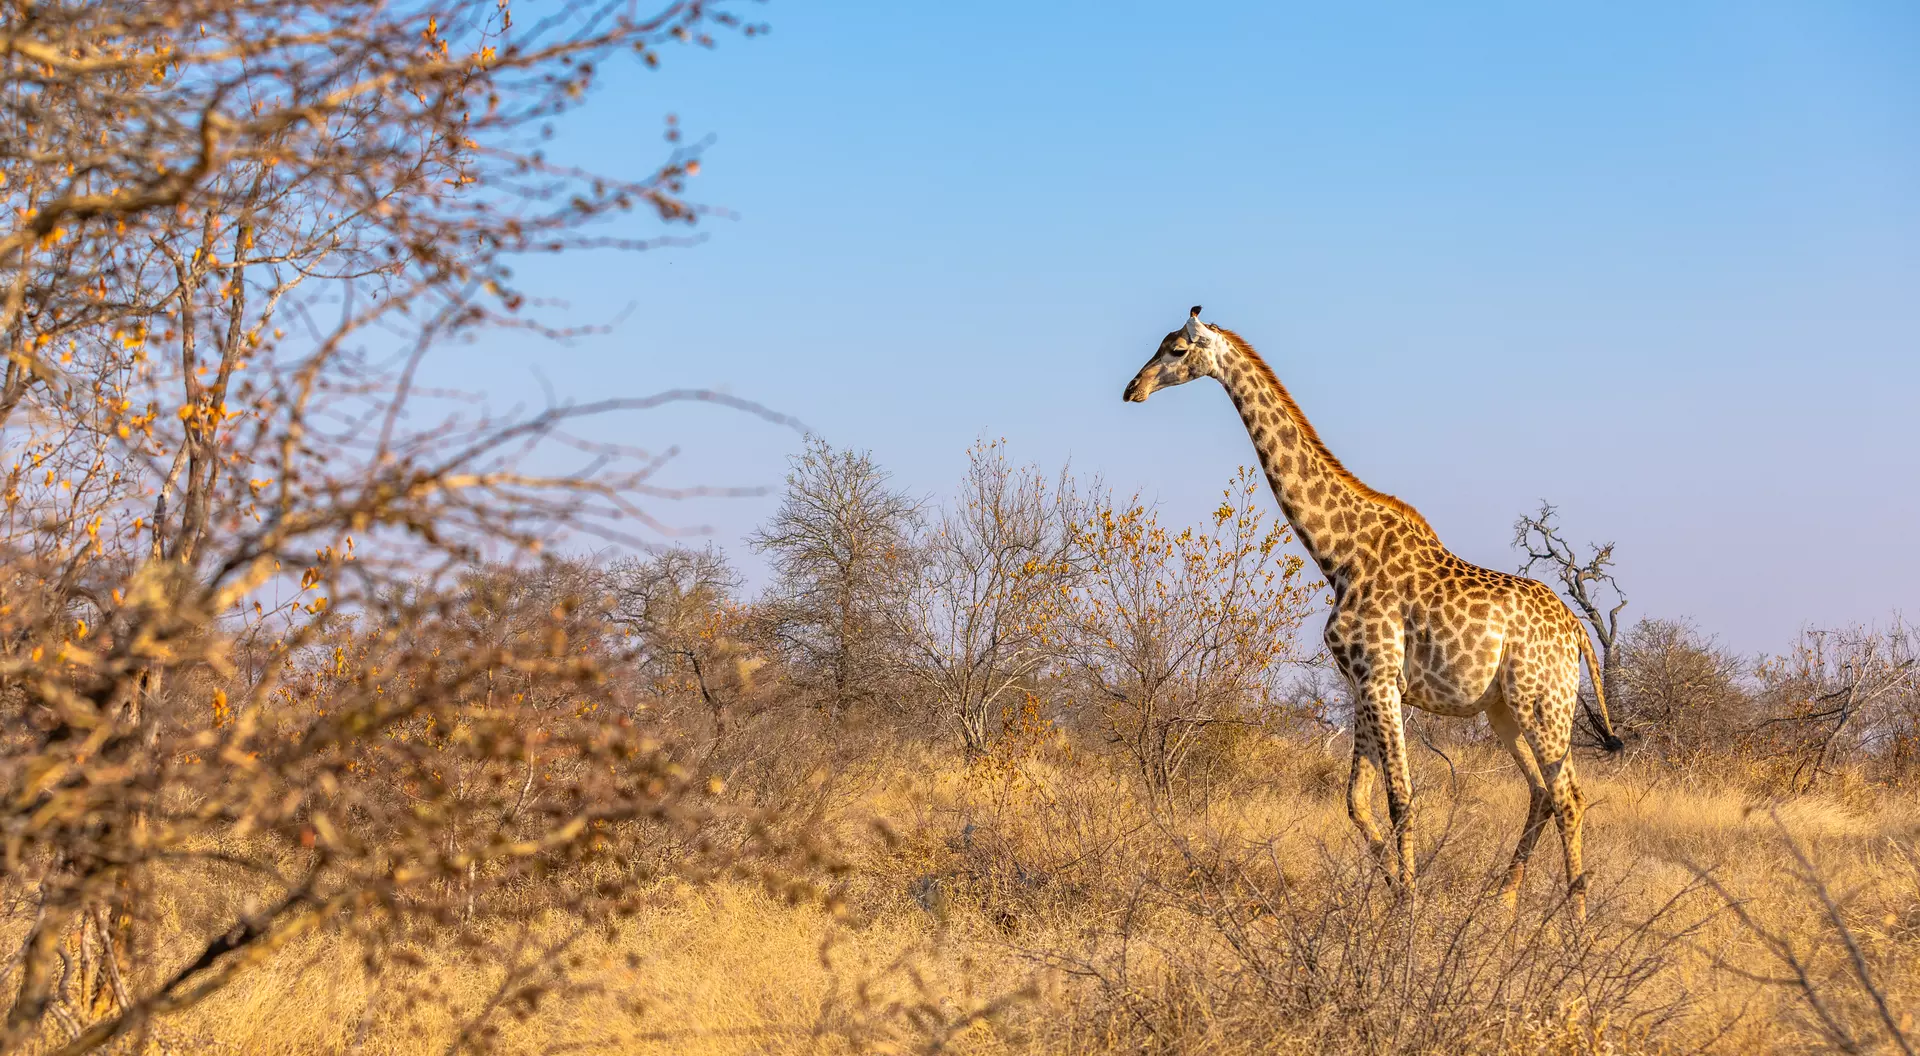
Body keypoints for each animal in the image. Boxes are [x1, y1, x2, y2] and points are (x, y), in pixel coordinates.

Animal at [1123, 306, 1624, 917]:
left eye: (1175, 350)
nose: (1133, 389)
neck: (1338, 554)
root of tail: (1577, 629)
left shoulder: (1381, 677)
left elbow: (1400, 798)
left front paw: (1408, 905)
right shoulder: (1361, 680)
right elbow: (1356, 801)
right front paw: (1395, 888)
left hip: (1543, 700)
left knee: (1568, 794)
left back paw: (1574, 921)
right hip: (1504, 709)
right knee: (1542, 791)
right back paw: (1503, 902)